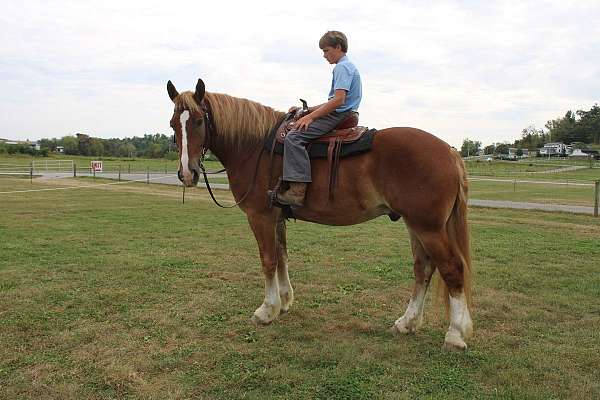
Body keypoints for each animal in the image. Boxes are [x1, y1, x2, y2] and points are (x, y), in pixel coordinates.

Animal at [165, 79, 474, 350]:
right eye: (173, 125)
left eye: (198, 121)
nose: (187, 173)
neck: (254, 147)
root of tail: (450, 151)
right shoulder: (277, 218)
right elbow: (281, 256)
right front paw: (284, 301)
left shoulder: (260, 216)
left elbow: (268, 260)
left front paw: (267, 310)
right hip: (416, 225)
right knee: (423, 268)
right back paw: (407, 323)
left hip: (428, 228)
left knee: (451, 269)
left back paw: (454, 335)